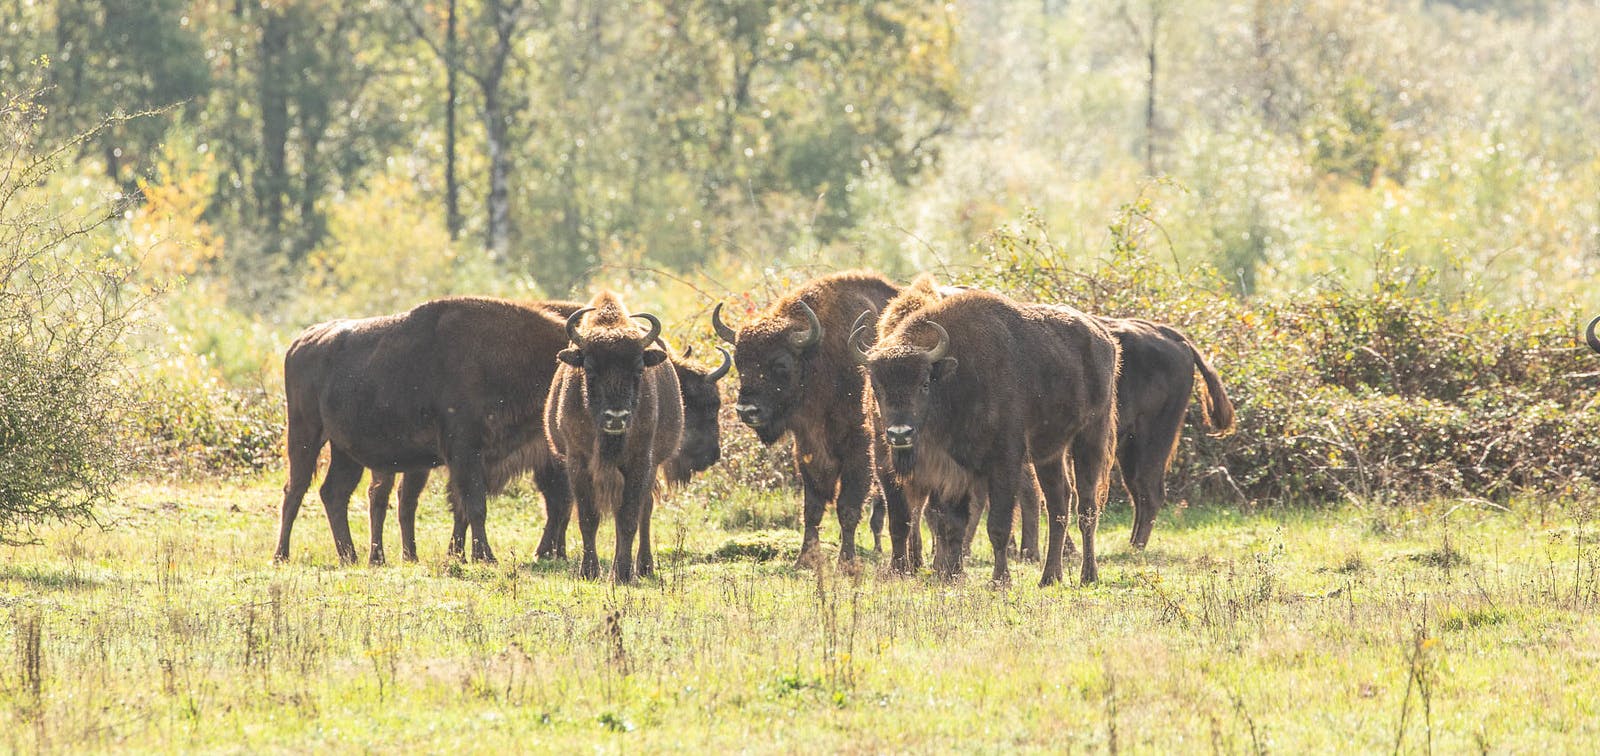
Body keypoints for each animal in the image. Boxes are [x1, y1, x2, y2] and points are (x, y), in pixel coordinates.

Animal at [276, 297, 576, 563]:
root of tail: (300, 342)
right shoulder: (465, 451)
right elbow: (475, 505)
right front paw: (485, 557)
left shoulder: (472, 459)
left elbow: (465, 506)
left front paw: (465, 555)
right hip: (305, 435)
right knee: (295, 489)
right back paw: (282, 555)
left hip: (345, 451)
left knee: (334, 493)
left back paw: (350, 557)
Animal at [547, 293, 684, 583]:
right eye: (589, 368)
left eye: (639, 369)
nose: (616, 418)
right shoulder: (578, 462)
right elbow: (588, 517)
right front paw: (589, 571)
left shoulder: (640, 462)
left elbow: (629, 517)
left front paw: (621, 573)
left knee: (645, 510)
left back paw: (643, 567)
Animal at [710, 272, 902, 567]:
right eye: (740, 364)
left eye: (781, 364)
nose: (746, 410)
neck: (819, 355)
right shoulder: (807, 448)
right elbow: (812, 508)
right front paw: (804, 560)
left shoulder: (858, 447)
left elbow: (847, 507)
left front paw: (846, 561)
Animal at [857, 288, 1120, 586]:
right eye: (876, 387)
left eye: (923, 383)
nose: (899, 434)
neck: (954, 378)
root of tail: (1104, 338)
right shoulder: (950, 470)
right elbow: (947, 523)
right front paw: (949, 575)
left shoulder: (1005, 461)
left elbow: (997, 525)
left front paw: (1000, 580)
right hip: (1049, 453)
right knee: (1059, 504)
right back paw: (1049, 577)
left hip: (1091, 435)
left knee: (1086, 507)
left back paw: (1088, 575)